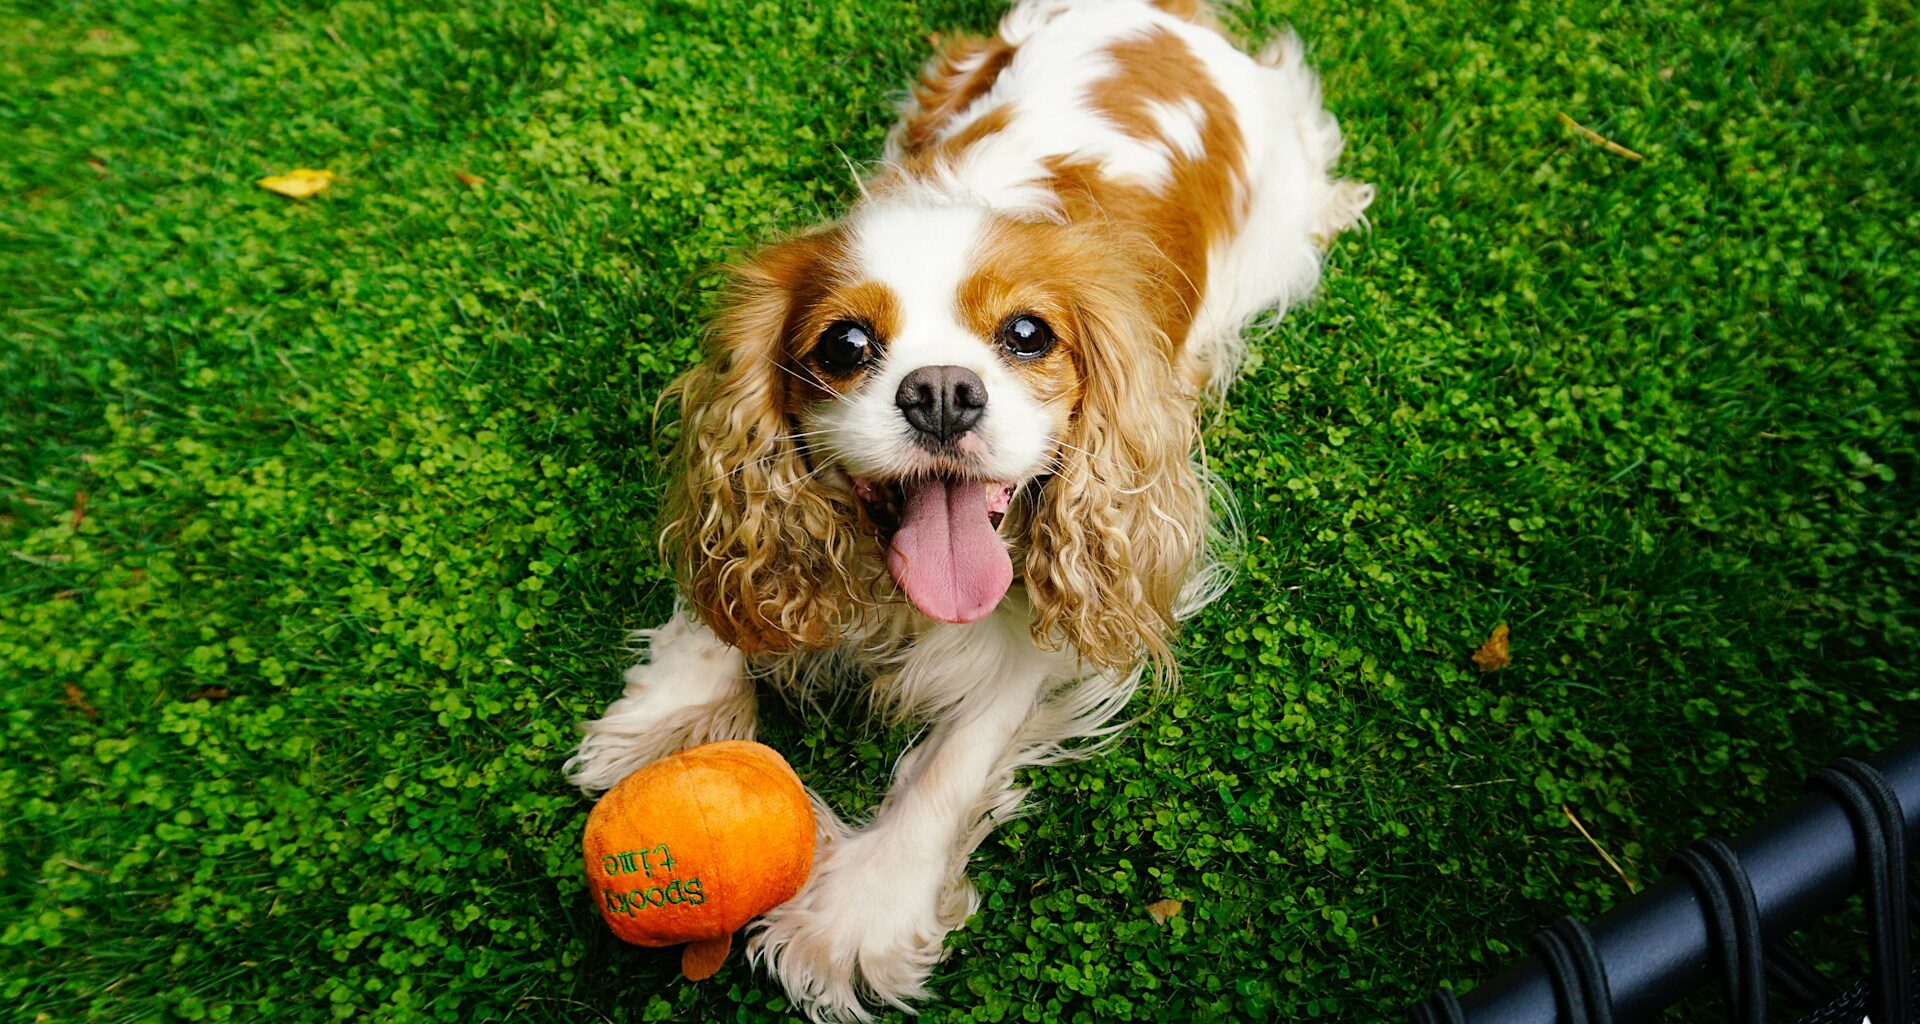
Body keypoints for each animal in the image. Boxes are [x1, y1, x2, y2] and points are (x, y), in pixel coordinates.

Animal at [560, 3, 1374, 1014]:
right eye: (845, 345)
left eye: (1027, 334)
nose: (942, 391)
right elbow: (722, 604)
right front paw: (671, 715)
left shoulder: (1055, 611)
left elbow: (959, 755)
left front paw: (860, 911)